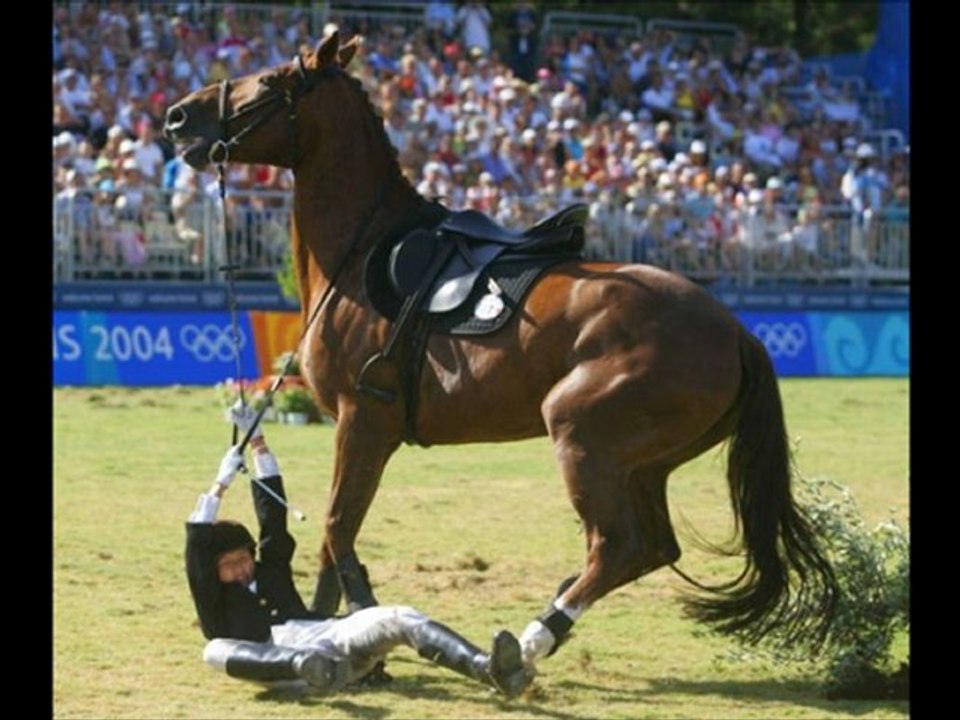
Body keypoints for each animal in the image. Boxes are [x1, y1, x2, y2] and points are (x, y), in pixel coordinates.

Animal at [165, 33, 837, 672]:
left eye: (269, 81)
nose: (176, 117)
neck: (361, 251)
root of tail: (736, 332)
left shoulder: (364, 422)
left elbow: (337, 527)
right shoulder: (359, 431)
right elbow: (336, 539)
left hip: (581, 435)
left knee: (617, 546)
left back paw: (529, 644)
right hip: (644, 463)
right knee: (652, 547)